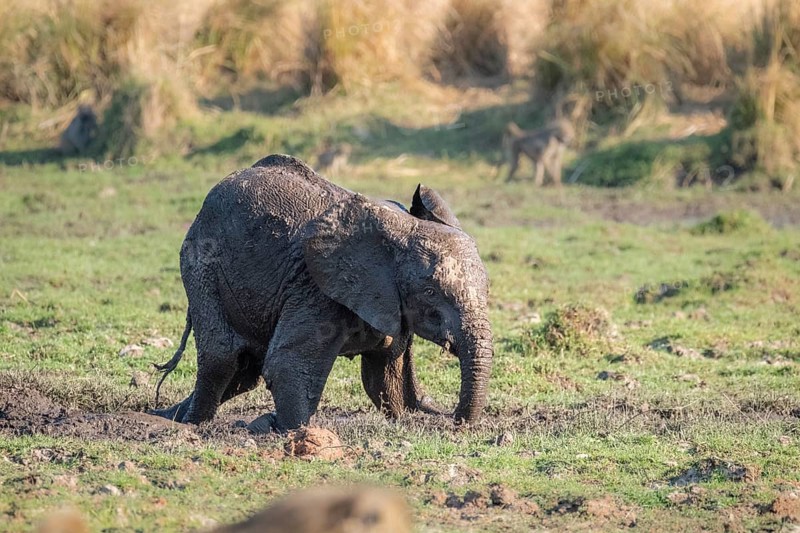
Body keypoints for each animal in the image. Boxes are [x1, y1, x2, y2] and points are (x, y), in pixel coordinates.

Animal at [150, 154, 493, 433]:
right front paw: (289, 431)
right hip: (201, 264)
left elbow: (384, 375)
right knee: (223, 358)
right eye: (430, 291)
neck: (401, 231)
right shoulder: (316, 289)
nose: (453, 420)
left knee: (244, 371)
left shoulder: (390, 303)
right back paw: (191, 424)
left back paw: (168, 415)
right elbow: (287, 364)